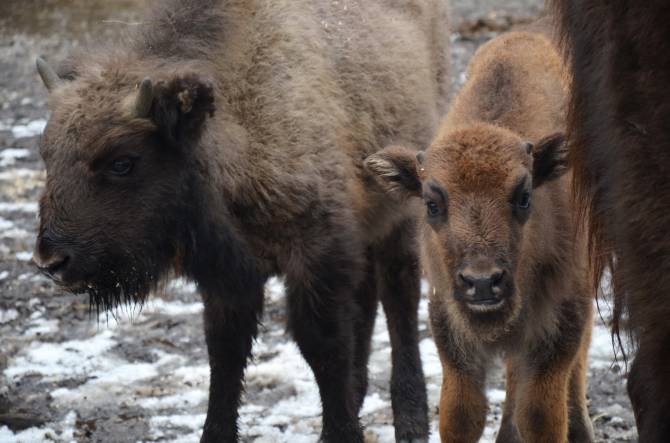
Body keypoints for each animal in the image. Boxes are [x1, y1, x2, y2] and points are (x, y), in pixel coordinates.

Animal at [31, 0, 452, 443]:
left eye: (122, 162)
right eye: (47, 154)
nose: (50, 261)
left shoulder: (316, 256)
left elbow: (323, 346)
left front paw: (342, 431)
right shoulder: (230, 276)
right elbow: (226, 355)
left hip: (401, 214)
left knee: (399, 296)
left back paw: (411, 421)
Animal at [370, 32, 596, 443]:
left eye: (524, 196)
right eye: (431, 203)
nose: (482, 282)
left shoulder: (560, 324)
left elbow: (541, 414)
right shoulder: (451, 330)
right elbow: (462, 415)